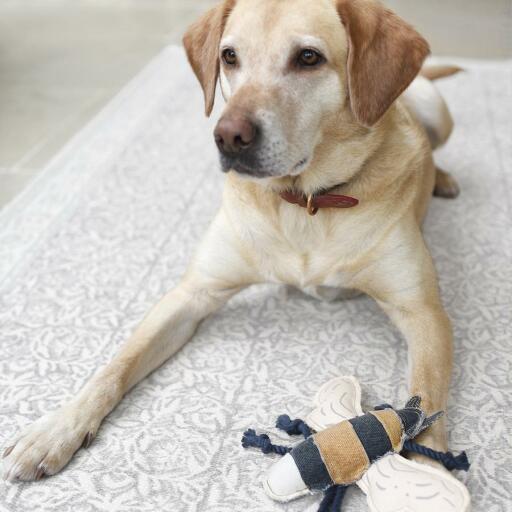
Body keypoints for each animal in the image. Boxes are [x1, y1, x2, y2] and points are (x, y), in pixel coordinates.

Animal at [3, 0, 460, 482]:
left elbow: (427, 404)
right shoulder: (193, 293)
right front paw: (56, 428)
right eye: (229, 57)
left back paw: (442, 178)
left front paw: (432, 473)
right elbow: (117, 364)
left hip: (435, 108)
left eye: (308, 57)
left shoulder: (423, 313)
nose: (228, 137)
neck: (307, 202)